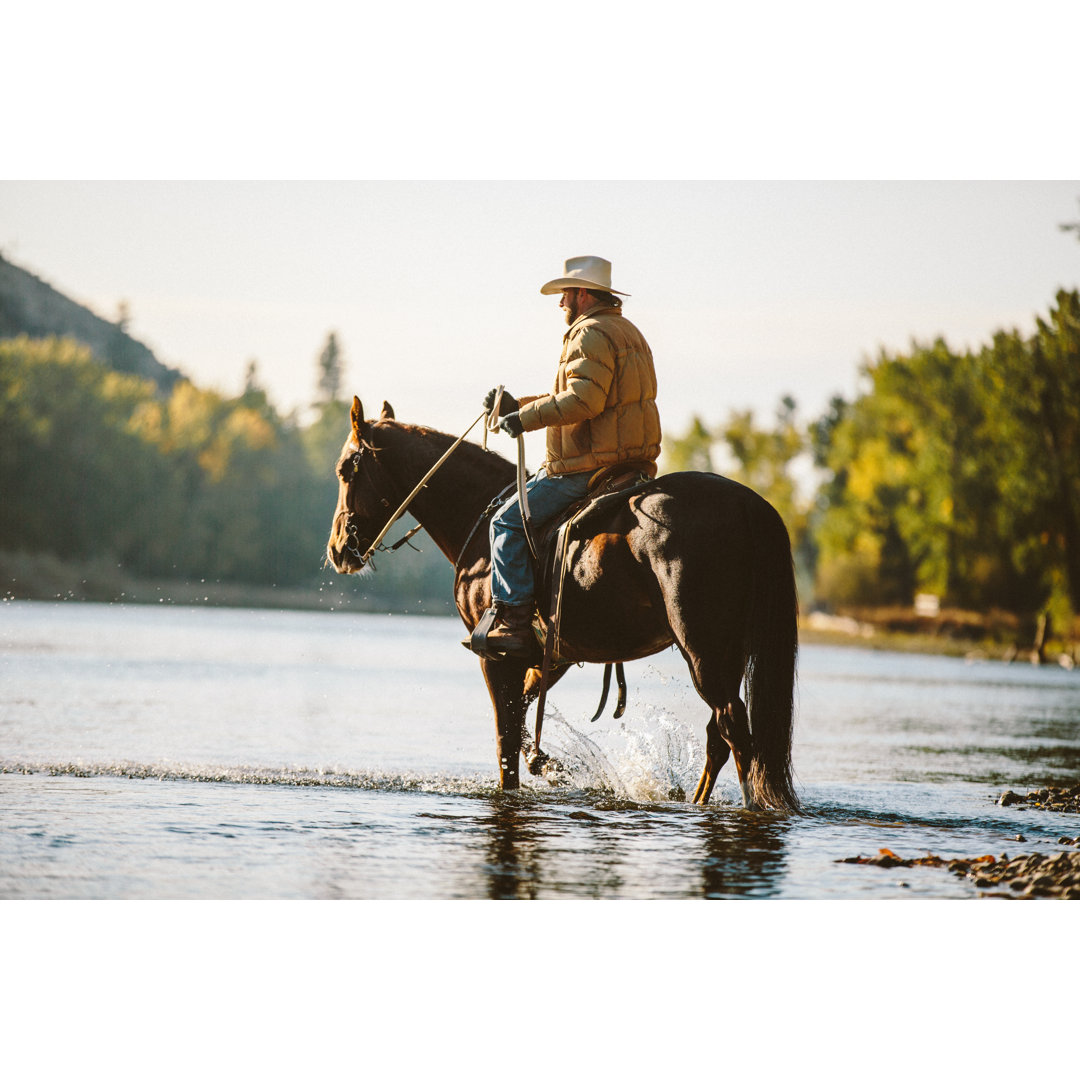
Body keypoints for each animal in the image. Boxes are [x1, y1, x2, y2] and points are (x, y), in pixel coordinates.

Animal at [324, 399, 799, 812]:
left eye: (347, 469)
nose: (338, 548)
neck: (480, 517)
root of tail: (749, 504)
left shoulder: (495, 656)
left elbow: (505, 739)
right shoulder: (550, 657)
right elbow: (521, 725)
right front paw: (550, 765)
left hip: (704, 651)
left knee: (734, 730)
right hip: (725, 653)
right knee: (719, 735)